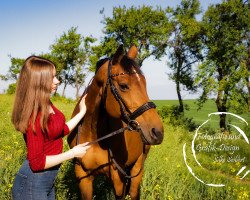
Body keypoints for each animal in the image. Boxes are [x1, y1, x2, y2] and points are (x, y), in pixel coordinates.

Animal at [67, 45, 164, 200]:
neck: (93, 135)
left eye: (144, 84)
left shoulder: (119, 181)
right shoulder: (83, 176)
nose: (158, 131)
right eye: (123, 85)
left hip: (138, 167)